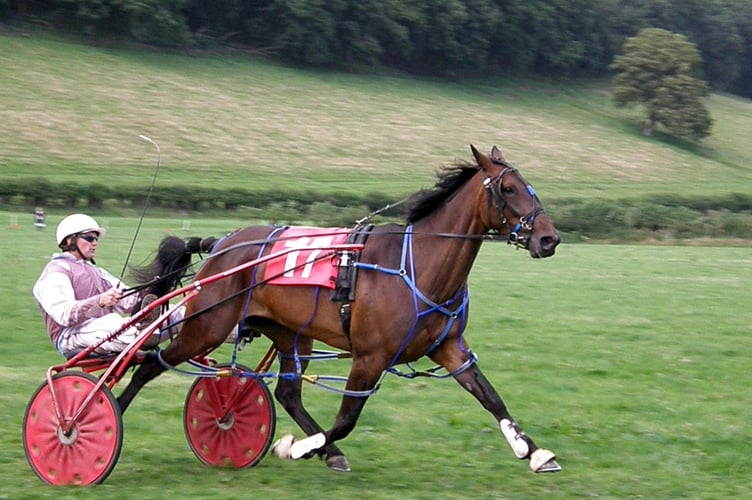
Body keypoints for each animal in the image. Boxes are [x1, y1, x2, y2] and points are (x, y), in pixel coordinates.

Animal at [120, 144, 560, 472]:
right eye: (508, 189)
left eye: (530, 186)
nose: (549, 238)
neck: (417, 264)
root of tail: (222, 243)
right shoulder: (370, 357)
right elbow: (347, 418)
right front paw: (297, 447)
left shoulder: (449, 347)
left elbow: (489, 396)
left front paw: (533, 450)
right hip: (206, 327)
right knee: (150, 364)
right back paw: (111, 414)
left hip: (291, 335)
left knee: (287, 393)